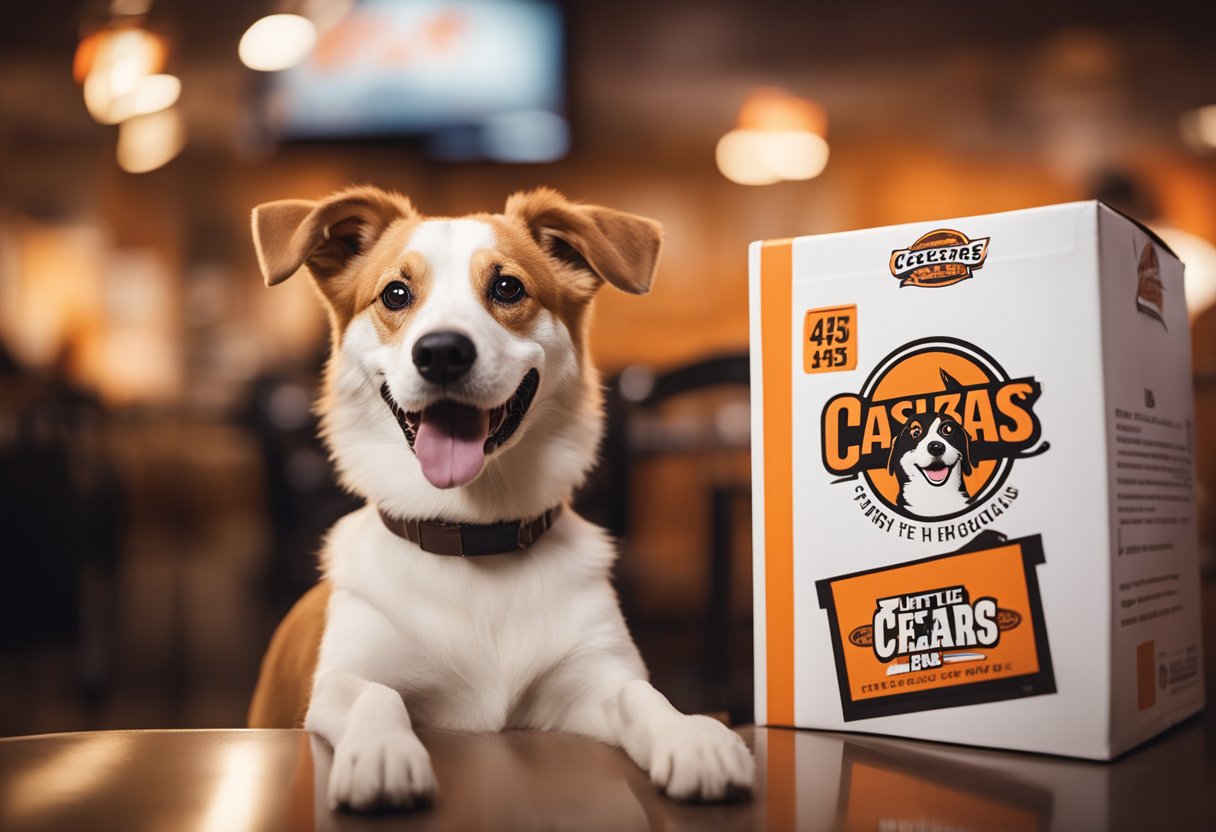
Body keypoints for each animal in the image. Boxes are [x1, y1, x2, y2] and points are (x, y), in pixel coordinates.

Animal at [245, 187, 749, 812]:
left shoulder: (594, 679)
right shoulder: (343, 679)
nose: (441, 352)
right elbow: (374, 696)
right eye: (395, 294)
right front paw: (383, 753)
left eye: (507, 287)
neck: (473, 536)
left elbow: (641, 696)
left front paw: (691, 737)